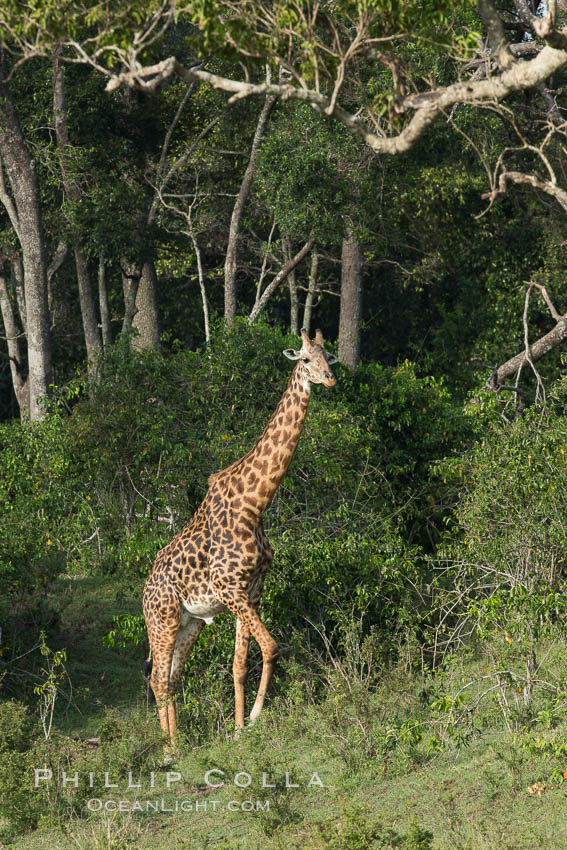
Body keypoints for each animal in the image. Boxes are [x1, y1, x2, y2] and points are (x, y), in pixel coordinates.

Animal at [143, 328, 338, 744]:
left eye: (327, 356)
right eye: (305, 359)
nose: (329, 379)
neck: (255, 504)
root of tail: (144, 591)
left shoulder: (251, 589)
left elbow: (239, 663)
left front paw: (237, 728)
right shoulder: (231, 589)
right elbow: (272, 646)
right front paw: (256, 715)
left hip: (188, 623)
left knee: (171, 678)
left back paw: (179, 746)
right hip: (162, 619)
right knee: (158, 680)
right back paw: (169, 750)